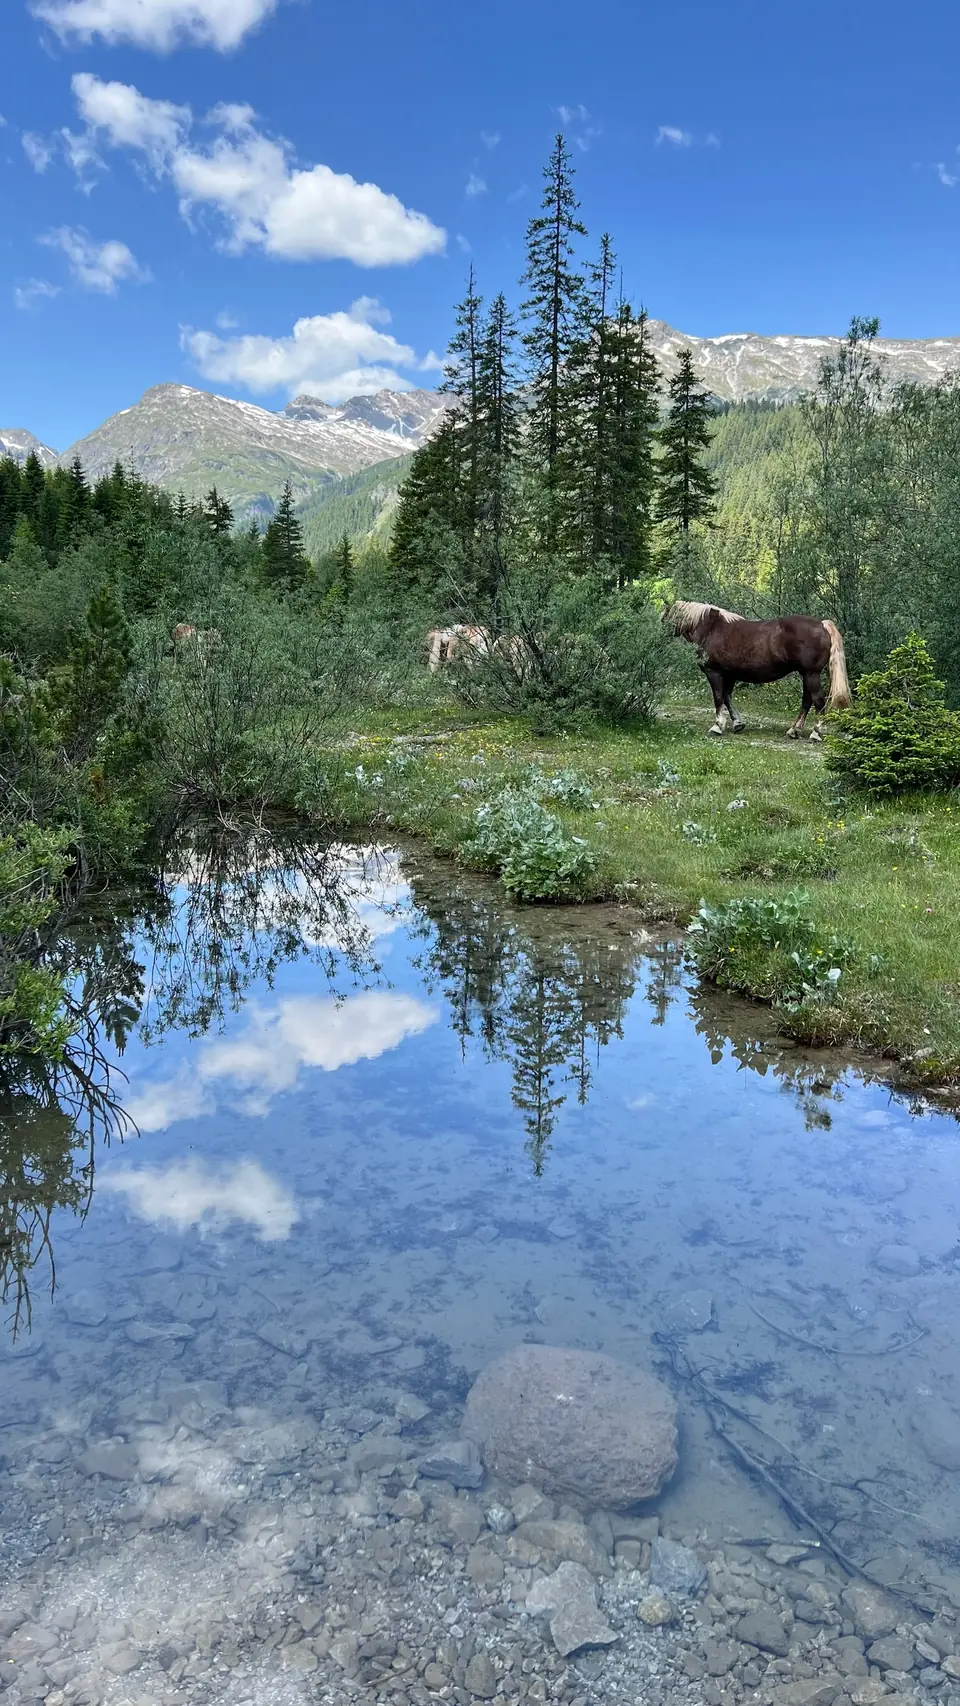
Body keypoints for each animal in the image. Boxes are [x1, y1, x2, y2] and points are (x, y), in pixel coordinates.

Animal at [664, 601, 852, 740]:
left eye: (665, 615)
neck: (711, 629)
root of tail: (822, 624)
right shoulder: (730, 675)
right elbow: (727, 698)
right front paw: (737, 723)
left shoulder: (714, 673)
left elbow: (718, 698)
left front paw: (717, 726)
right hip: (807, 674)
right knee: (807, 701)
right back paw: (794, 730)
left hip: (811, 674)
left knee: (818, 701)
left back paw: (816, 732)